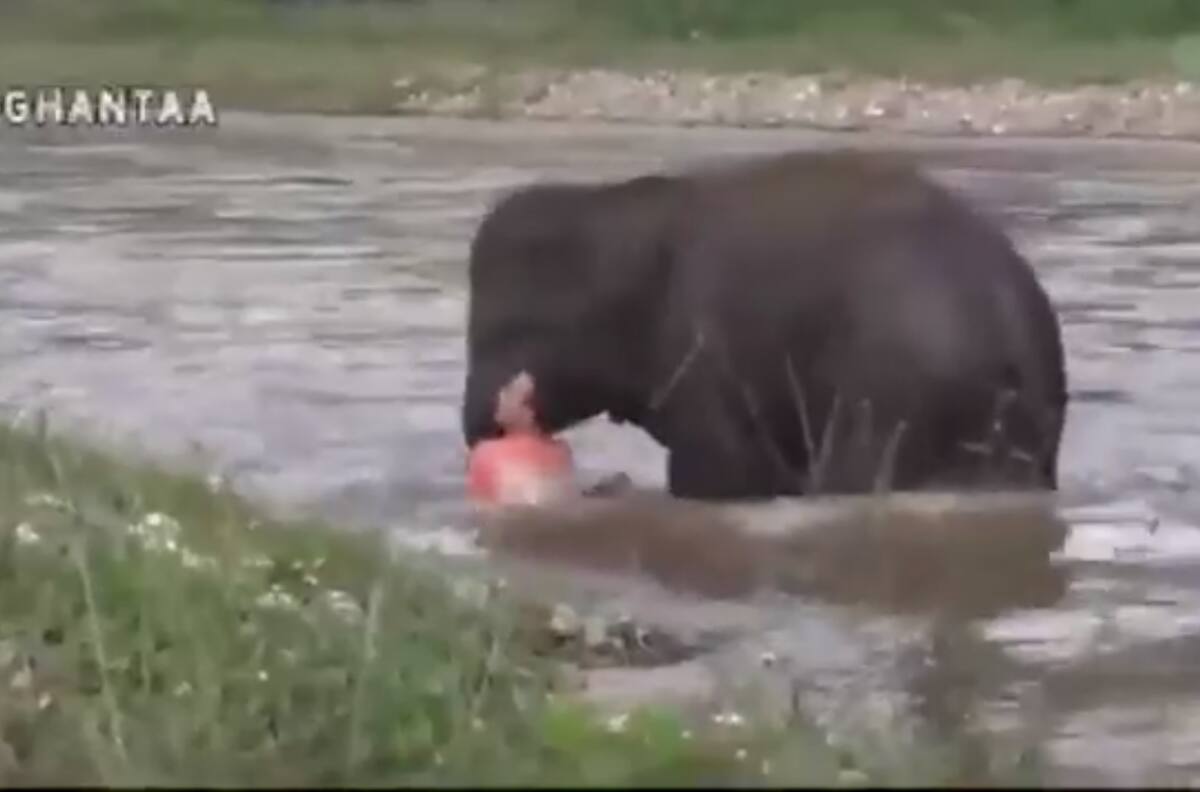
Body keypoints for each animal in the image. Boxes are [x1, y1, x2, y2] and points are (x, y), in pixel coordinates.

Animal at [461, 150, 1069, 502]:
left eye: (512, 329)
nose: (480, 430)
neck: (621, 207)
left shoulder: (701, 355)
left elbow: (717, 473)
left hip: (894, 399)